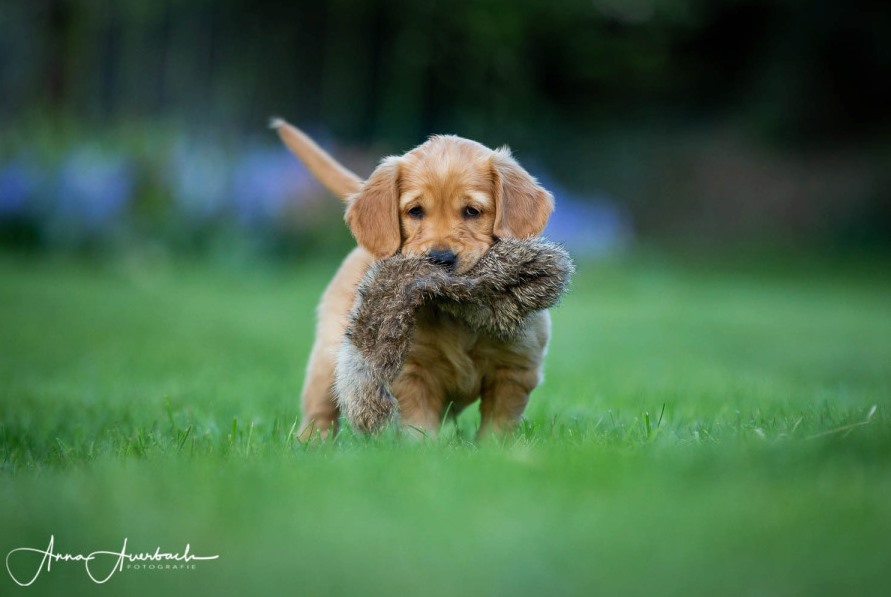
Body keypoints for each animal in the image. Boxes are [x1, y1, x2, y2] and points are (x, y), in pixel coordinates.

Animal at [272, 120, 556, 438]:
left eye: (472, 211)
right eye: (415, 211)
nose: (440, 259)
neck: (457, 310)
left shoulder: (514, 371)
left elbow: (498, 426)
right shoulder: (411, 372)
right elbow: (419, 427)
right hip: (327, 355)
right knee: (319, 410)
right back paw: (312, 442)